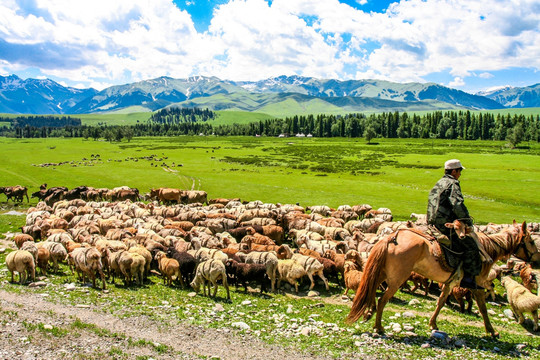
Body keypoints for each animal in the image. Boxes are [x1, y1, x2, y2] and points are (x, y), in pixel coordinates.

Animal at [346, 219, 536, 338]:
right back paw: (378, 326)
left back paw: (369, 313)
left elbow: (441, 301)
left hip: (384, 271)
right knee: (382, 299)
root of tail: (392, 238)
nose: (536, 258)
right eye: (532, 241)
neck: (487, 249)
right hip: (397, 276)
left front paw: (433, 324)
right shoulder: (477, 283)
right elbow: (482, 308)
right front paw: (492, 331)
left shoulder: (451, 282)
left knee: (371, 288)